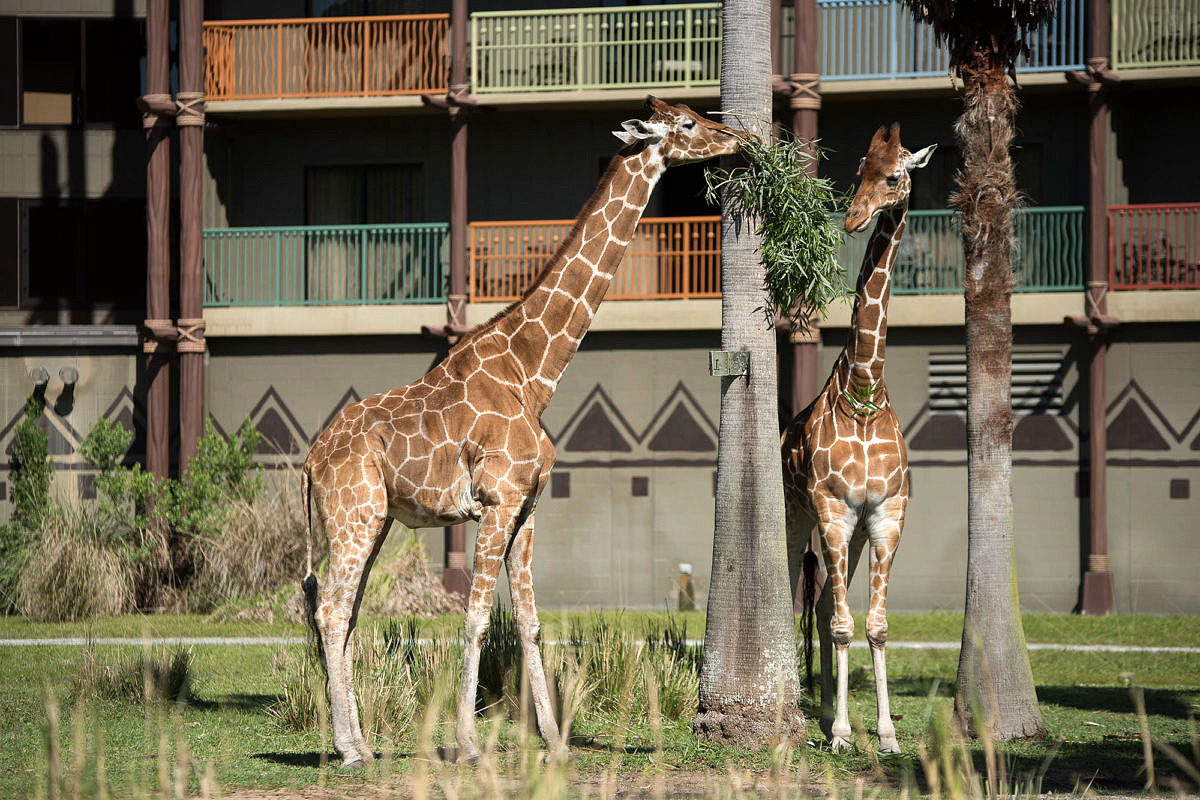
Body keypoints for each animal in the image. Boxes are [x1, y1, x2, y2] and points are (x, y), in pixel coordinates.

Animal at [300, 97, 739, 767]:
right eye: (688, 123)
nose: (738, 139)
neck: (534, 372)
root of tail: (309, 461)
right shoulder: (496, 501)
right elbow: (477, 619)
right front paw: (467, 746)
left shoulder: (529, 507)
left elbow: (531, 622)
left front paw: (556, 744)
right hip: (354, 515)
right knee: (329, 610)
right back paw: (349, 750)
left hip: (373, 520)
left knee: (344, 613)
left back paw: (363, 745)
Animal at [777, 122, 936, 753]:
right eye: (858, 171)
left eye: (894, 176)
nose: (852, 219)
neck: (864, 390)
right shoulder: (833, 508)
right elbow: (845, 626)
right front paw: (846, 733)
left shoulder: (886, 514)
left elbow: (877, 626)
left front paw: (886, 734)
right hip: (799, 513)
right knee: (806, 598)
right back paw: (819, 714)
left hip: (857, 531)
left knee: (822, 601)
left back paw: (823, 711)